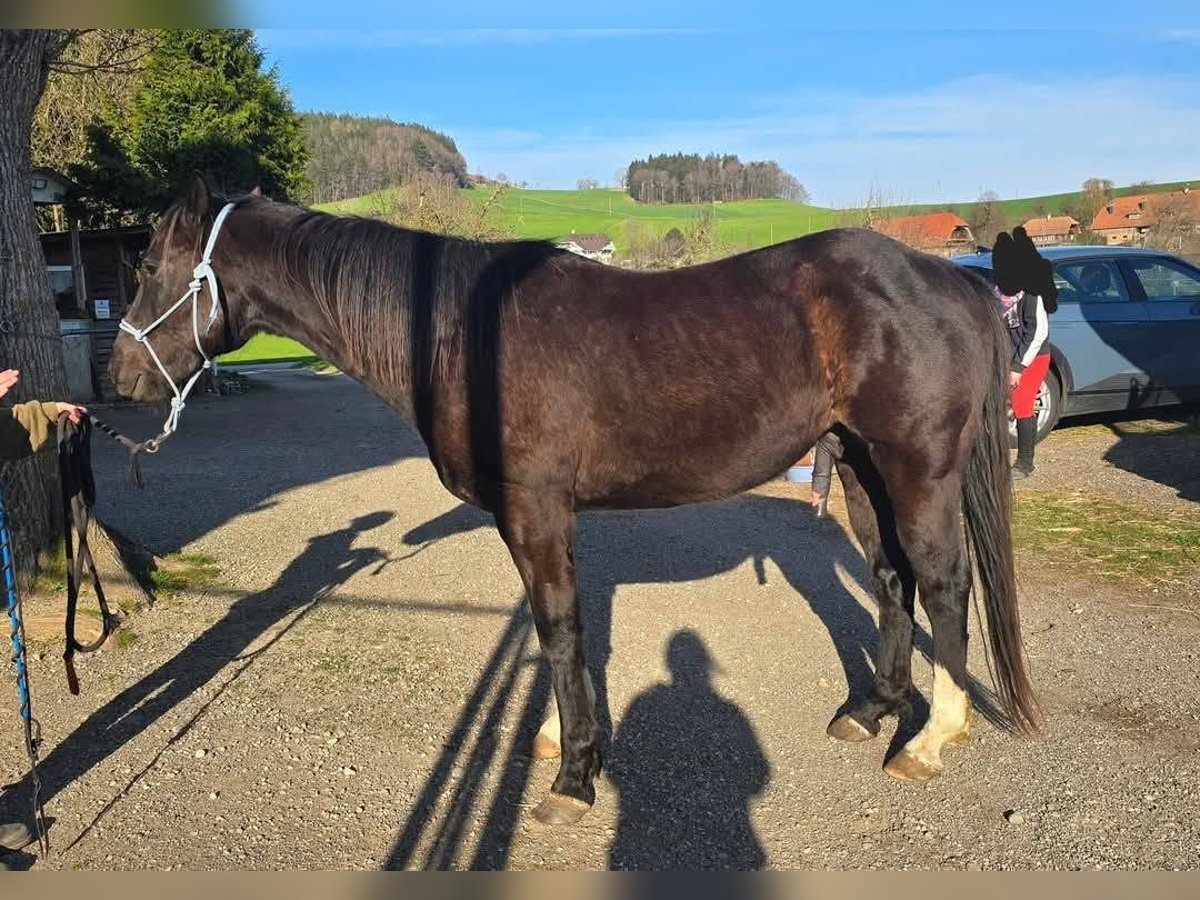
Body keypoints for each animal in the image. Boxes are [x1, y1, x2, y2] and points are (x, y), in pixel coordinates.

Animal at [108, 175, 1040, 827]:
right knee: (891, 580)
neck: (466, 335)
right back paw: (870, 711)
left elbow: (559, 633)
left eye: (151, 266)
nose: (118, 378)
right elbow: (558, 632)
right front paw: (562, 743)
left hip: (917, 468)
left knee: (943, 585)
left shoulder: (536, 511)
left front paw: (573, 776)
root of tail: (952, 283)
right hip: (857, 468)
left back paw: (929, 742)